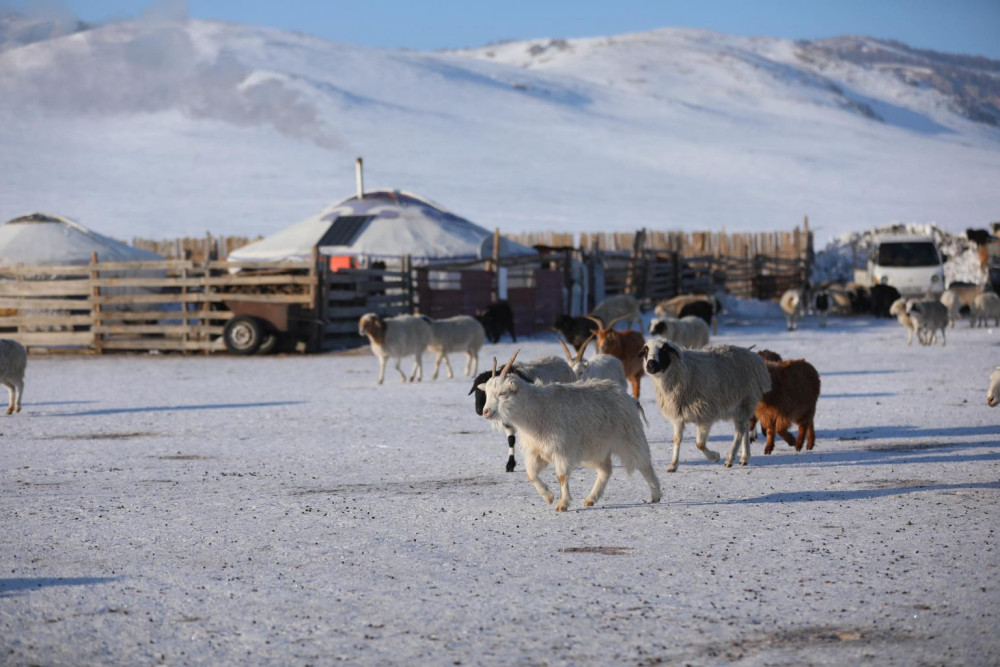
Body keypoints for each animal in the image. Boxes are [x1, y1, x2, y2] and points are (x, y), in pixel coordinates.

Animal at [478, 352, 664, 516]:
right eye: (487, 393)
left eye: (502, 393)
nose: (486, 412)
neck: (536, 408)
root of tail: (630, 398)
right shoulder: (536, 451)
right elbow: (531, 474)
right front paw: (548, 497)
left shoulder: (562, 450)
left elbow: (562, 476)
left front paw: (562, 504)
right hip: (596, 448)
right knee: (605, 470)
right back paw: (591, 498)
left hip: (630, 438)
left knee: (644, 464)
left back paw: (656, 495)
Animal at [640, 342, 772, 472]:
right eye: (646, 350)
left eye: (663, 350)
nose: (650, 365)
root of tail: (753, 356)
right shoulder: (678, 416)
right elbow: (677, 439)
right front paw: (673, 465)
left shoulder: (705, 415)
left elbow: (700, 444)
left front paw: (715, 457)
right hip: (736, 408)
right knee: (745, 427)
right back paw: (744, 457)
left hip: (744, 402)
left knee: (739, 432)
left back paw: (730, 459)